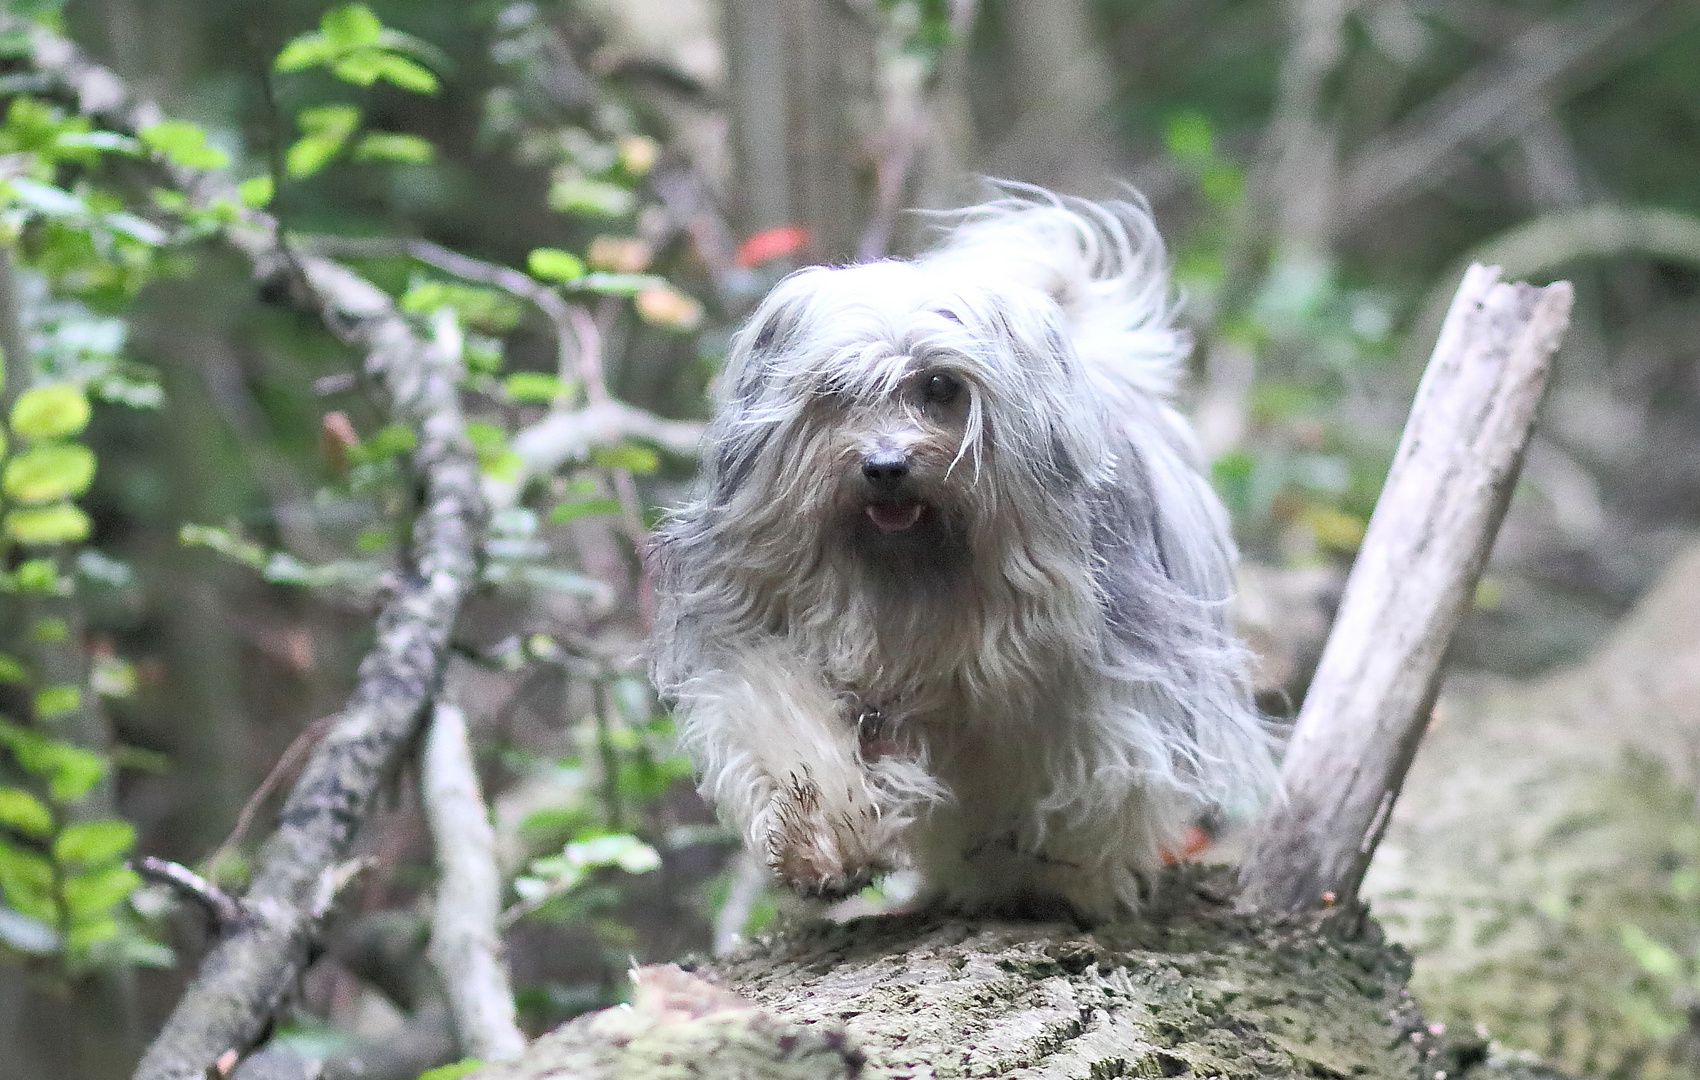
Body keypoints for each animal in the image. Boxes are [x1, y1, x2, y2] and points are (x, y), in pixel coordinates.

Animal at [649, 186, 1278, 918]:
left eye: (942, 387)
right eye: (834, 390)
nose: (885, 466)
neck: (914, 577)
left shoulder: (1089, 686)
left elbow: (1082, 777)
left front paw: (1068, 877)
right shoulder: (766, 629)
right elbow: (784, 724)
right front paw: (826, 845)